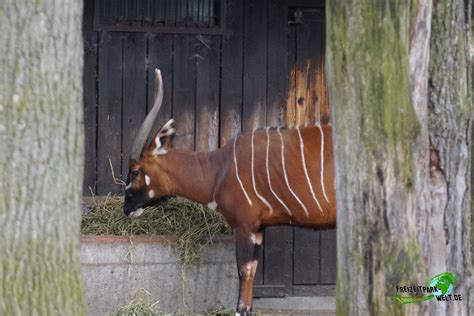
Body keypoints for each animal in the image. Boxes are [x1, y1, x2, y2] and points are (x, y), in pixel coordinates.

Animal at [124, 69, 336, 316]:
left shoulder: (244, 226)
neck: (218, 169)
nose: (126, 208)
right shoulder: (257, 229)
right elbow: (250, 274)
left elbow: (244, 275)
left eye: (135, 172)